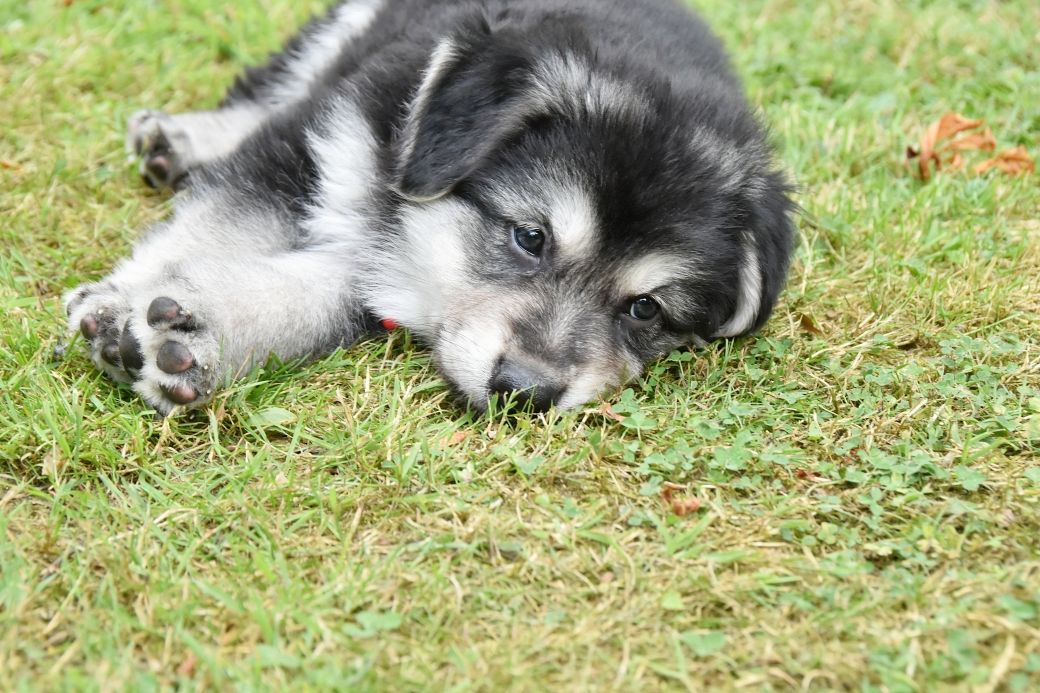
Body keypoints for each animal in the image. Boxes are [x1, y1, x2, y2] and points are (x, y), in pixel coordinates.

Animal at [63, 0, 795, 415]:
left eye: (645, 310)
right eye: (530, 237)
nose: (526, 391)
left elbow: (319, 293)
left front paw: (196, 337)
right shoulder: (308, 145)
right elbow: (214, 224)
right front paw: (114, 304)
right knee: (267, 90)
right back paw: (178, 140)